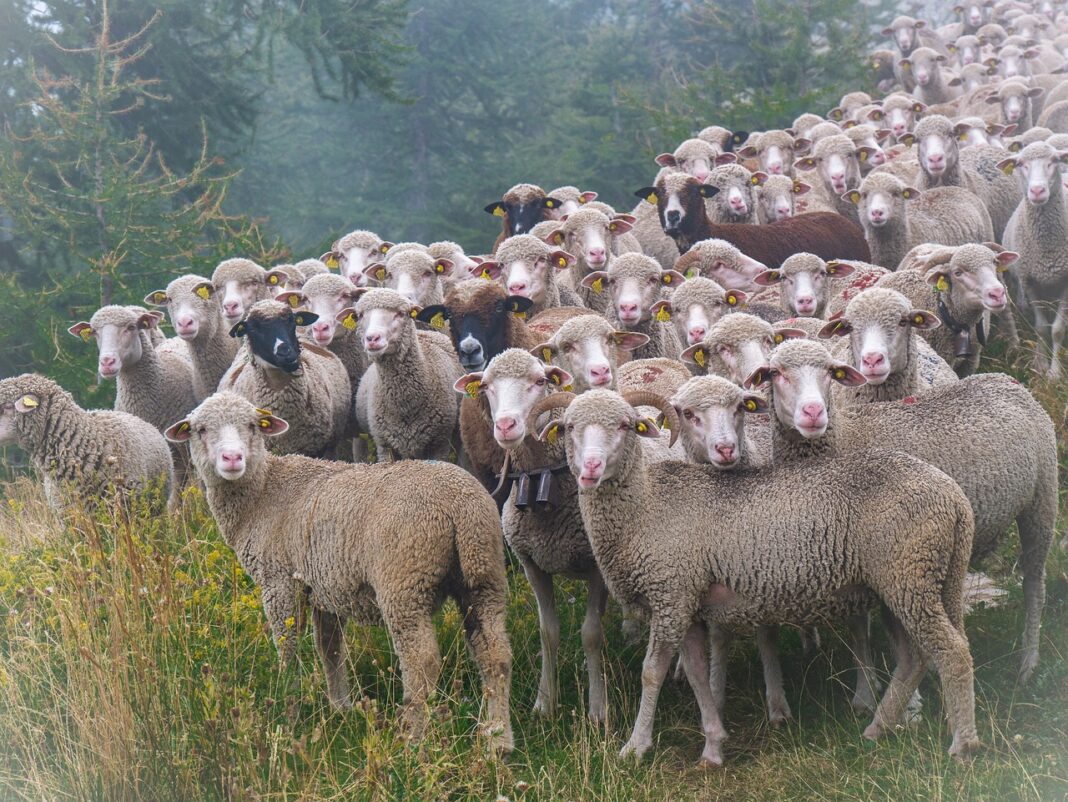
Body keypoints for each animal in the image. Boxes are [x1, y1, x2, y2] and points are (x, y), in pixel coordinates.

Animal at [164, 392, 513, 751]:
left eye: (251, 426)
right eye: (201, 430)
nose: (232, 458)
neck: (262, 494)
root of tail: (459, 504)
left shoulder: (279, 583)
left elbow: (287, 647)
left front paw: (290, 707)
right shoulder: (323, 588)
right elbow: (329, 649)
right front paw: (340, 705)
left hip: (404, 580)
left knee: (422, 661)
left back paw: (414, 740)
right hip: (483, 574)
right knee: (495, 653)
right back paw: (498, 738)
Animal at [340, 289, 463, 460]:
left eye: (401, 313)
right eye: (359, 315)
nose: (372, 338)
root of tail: (424, 332)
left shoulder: (440, 444)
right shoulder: (384, 444)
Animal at [532, 384, 978, 764]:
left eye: (625, 426)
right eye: (568, 427)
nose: (590, 468)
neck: (645, 506)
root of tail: (954, 498)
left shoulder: (670, 594)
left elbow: (651, 673)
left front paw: (635, 746)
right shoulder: (687, 601)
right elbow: (697, 673)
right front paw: (713, 745)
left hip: (908, 575)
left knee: (951, 650)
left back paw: (962, 745)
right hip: (910, 582)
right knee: (915, 657)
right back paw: (878, 728)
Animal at [749, 341, 1057, 685]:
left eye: (831, 372)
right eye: (775, 373)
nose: (814, 413)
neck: (845, 436)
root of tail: (1007, 380)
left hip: (1042, 499)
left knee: (1034, 581)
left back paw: (1029, 662)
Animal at [1000, 141, 1068, 377]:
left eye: (1054, 160)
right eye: (1020, 163)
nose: (1037, 191)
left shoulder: (1066, 282)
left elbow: (1057, 329)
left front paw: (1055, 373)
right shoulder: (1029, 280)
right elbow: (1041, 327)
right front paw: (1040, 363)